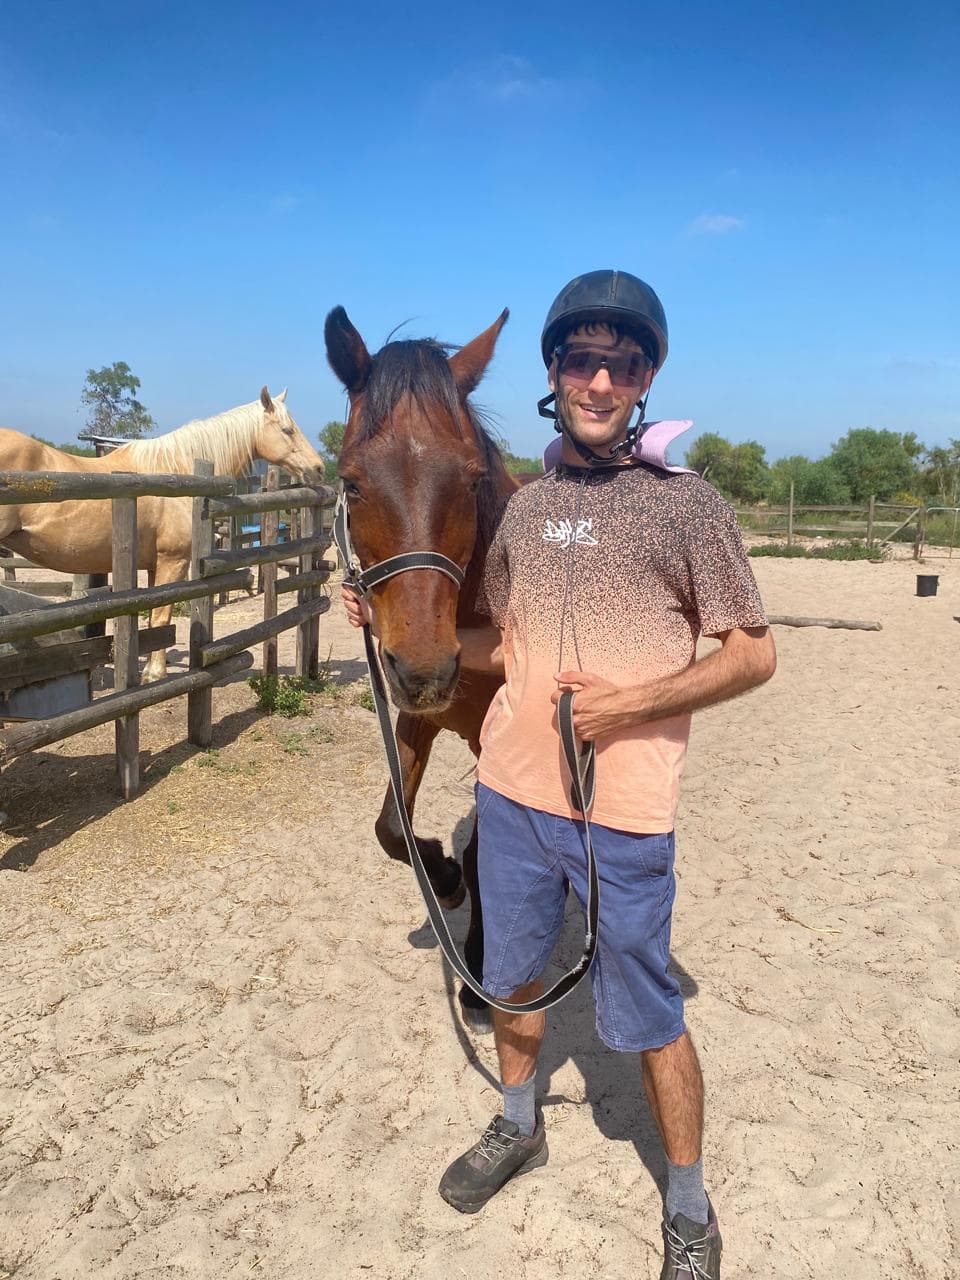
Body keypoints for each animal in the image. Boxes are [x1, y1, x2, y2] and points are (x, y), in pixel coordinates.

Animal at [0, 387, 324, 680]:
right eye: (287, 430)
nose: (319, 469)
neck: (179, 472)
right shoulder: (174, 561)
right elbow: (161, 617)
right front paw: (154, 674)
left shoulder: (155, 565)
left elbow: (153, 617)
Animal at [325, 305, 518, 1032]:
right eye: (350, 481)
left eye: (472, 478)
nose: (429, 669)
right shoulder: (412, 716)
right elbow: (392, 829)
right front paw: (443, 874)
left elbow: (487, 852)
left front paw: (480, 982)